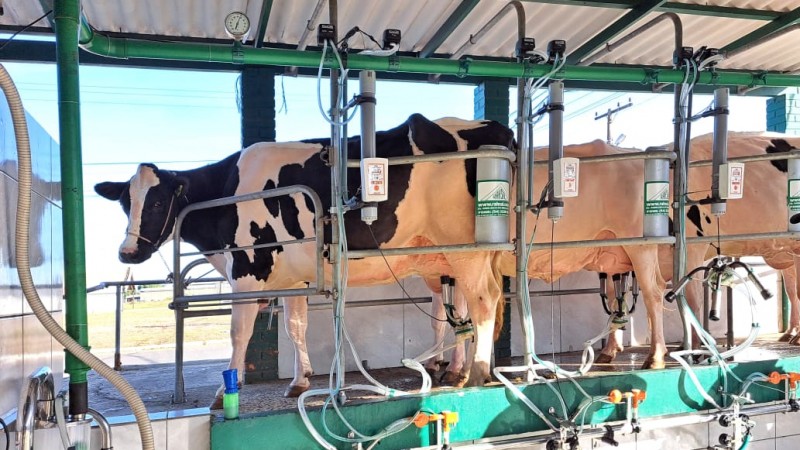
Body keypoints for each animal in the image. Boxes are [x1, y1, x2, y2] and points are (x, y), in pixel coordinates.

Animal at [94, 114, 515, 407]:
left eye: (158, 202)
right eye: (124, 203)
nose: (127, 252)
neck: (229, 191)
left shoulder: (247, 270)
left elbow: (239, 332)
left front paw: (224, 390)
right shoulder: (293, 278)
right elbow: (295, 326)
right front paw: (300, 381)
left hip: (469, 249)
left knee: (484, 302)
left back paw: (477, 373)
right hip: (448, 258)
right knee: (465, 310)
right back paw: (459, 371)